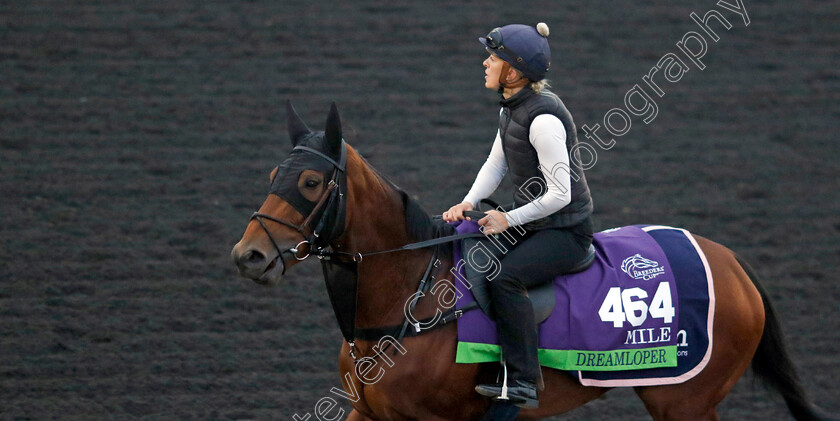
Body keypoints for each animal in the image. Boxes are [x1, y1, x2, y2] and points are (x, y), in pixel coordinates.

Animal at [230, 101, 820, 420]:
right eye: (272, 176)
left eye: (311, 182)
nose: (248, 255)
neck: (410, 303)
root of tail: (735, 267)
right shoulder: (369, 410)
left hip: (685, 402)